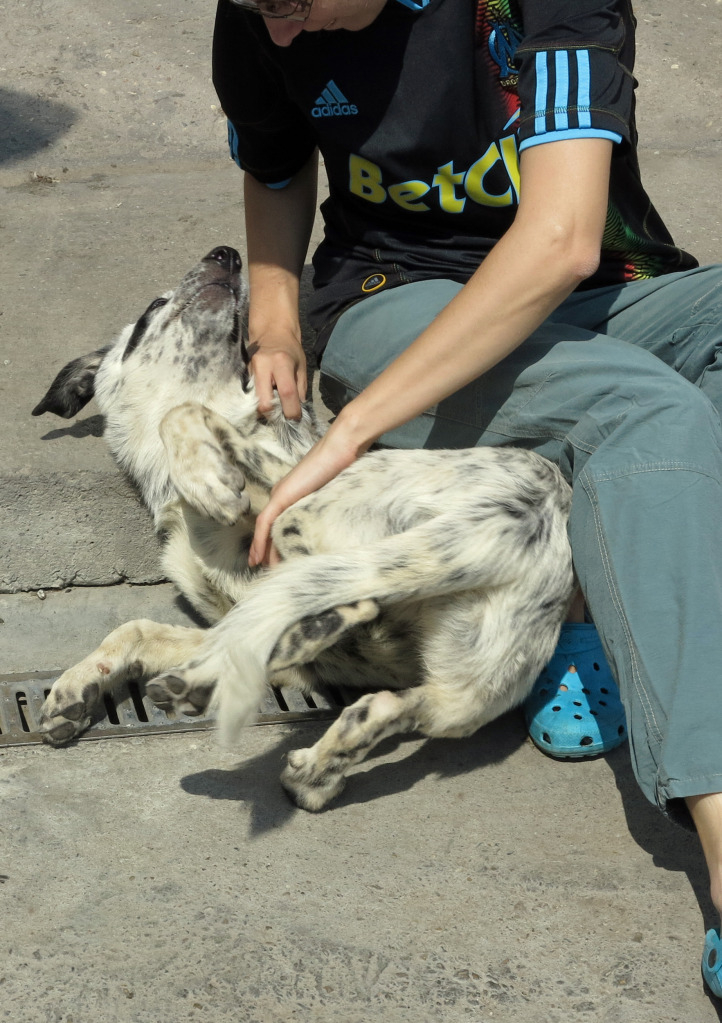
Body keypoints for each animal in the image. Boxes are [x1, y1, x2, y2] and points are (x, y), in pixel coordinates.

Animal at [33, 245, 572, 806]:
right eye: (153, 307)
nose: (226, 253)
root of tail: (532, 507)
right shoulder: (243, 612)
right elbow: (135, 629)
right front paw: (76, 687)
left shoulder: (273, 471)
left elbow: (182, 413)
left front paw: (207, 478)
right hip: (464, 685)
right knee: (384, 690)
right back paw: (305, 758)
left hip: (310, 509)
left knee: (347, 596)